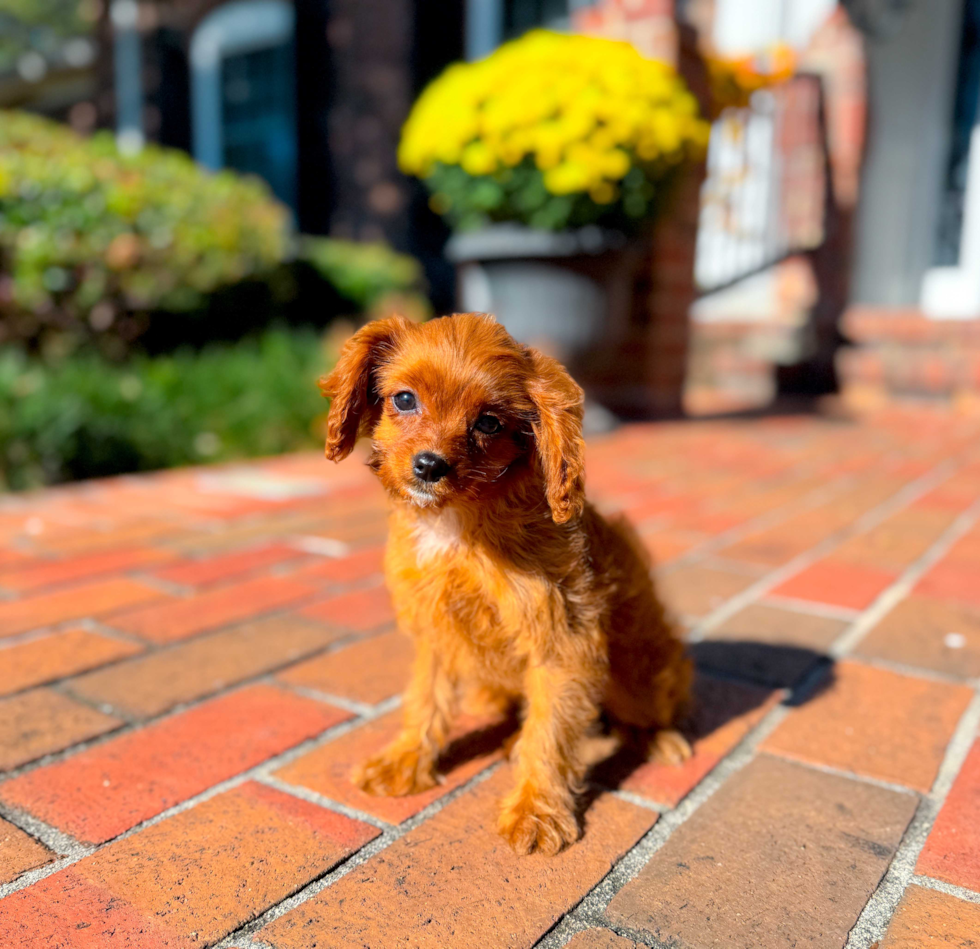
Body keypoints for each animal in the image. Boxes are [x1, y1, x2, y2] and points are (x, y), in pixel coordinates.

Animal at [320, 314, 688, 856]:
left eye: (489, 422)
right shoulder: (434, 631)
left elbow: (550, 732)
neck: (457, 523)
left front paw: (537, 809)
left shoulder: (563, 640)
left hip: (639, 668)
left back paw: (657, 737)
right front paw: (405, 760)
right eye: (404, 399)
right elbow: (424, 699)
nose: (429, 465)